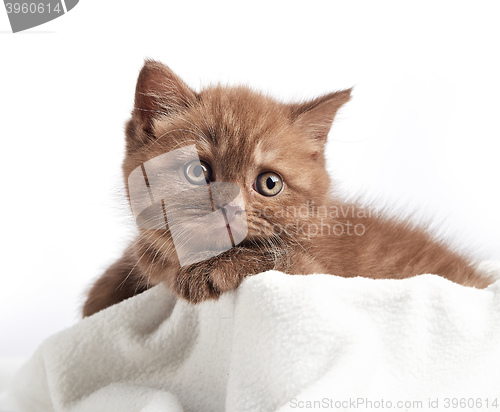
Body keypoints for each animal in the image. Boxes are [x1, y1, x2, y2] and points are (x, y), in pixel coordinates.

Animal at [83, 60, 492, 316]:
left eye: (269, 183)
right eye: (197, 172)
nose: (229, 206)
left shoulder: (321, 275)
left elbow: (279, 257)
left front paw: (206, 273)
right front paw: (103, 291)